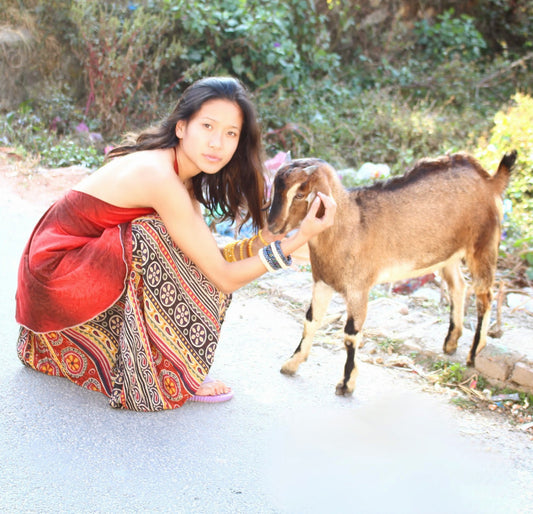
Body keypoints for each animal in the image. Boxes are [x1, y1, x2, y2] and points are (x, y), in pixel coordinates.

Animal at [266, 150, 516, 394]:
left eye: (300, 194)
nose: (272, 226)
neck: (350, 224)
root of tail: (490, 180)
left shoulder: (358, 289)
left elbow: (350, 334)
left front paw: (346, 383)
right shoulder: (322, 281)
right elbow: (311, 320)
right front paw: (292, 363)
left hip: (484, 245)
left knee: (485, 294)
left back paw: (474, 354)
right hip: (448, 254)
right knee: (459, 286)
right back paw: (451, 342)